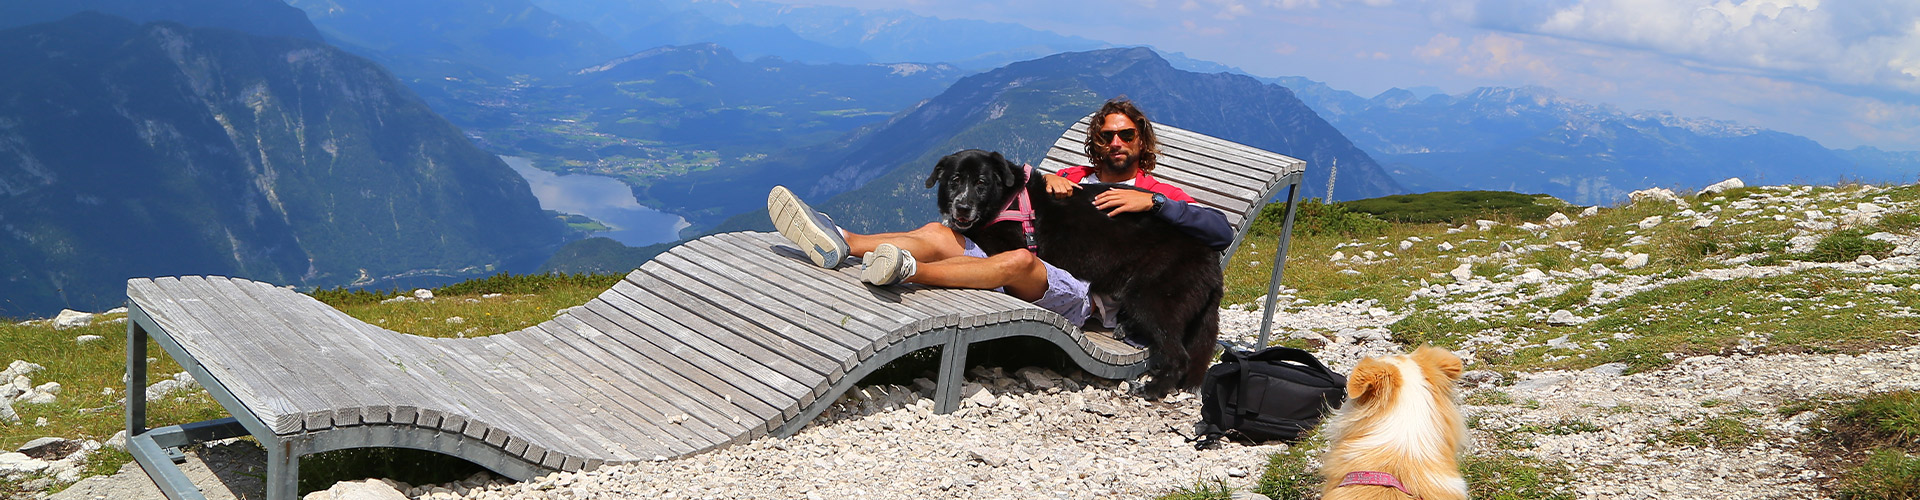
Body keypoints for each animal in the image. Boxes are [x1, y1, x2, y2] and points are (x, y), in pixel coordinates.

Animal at [925, 148, 1221, 398]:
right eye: (955, 180)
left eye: (982, 183)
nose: (962, 208)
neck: (1007, 201)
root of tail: (1211, 262)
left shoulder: (1007, 245)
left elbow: (964, 232)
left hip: (1150, 298)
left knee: (1179, 356)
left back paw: (1153, 388)